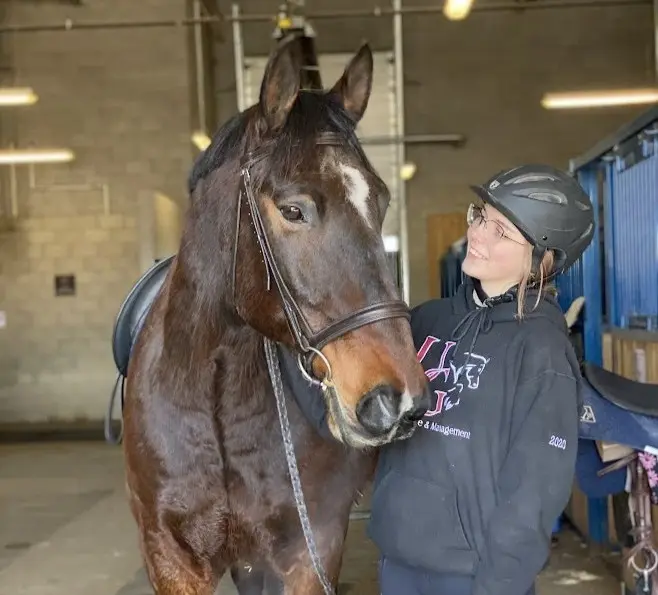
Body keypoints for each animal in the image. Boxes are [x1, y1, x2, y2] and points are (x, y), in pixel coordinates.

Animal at [119, 39, 431, 595]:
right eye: (292, 210)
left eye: (381, 201)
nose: (398, 400)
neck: (216, 397)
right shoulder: (169, 556)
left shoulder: (306, 551)